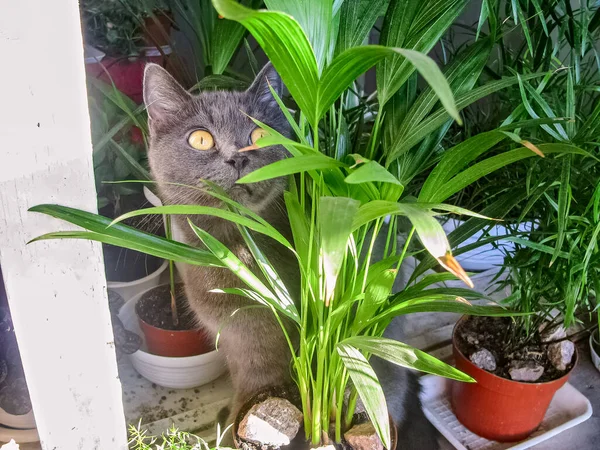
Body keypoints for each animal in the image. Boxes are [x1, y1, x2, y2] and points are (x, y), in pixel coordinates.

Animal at [143, 63, 438, 450]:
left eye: (260, 133)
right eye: (201, 139)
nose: (239, 157)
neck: (238, 253)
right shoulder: (239, 339)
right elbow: (253, 380)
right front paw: (236, 418)